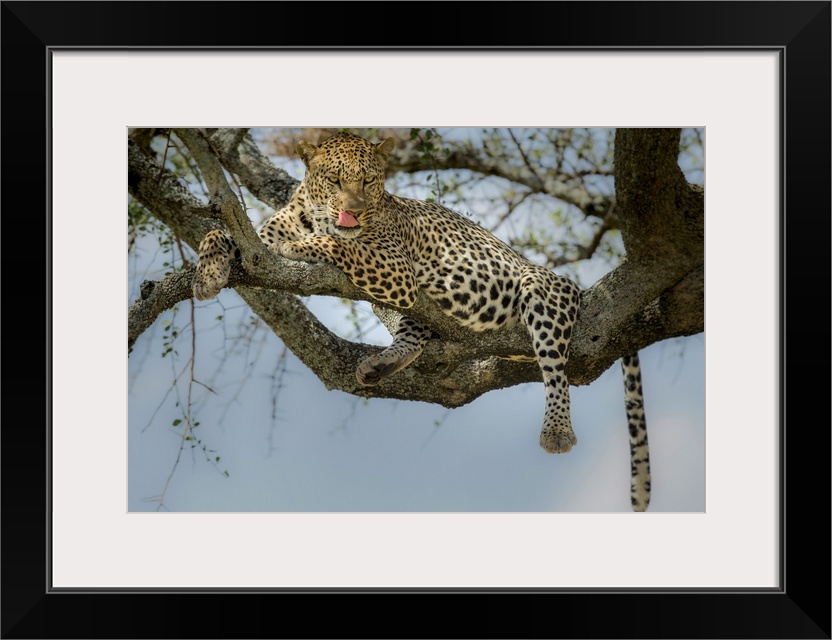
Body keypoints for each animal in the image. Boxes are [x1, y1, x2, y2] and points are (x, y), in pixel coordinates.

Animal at [193, 132, 648, 512]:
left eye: (369, 181)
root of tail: (578, 287)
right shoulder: (260, 241)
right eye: (336, 180)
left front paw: (305, 244)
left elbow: (339, 244)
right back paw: (380, 365)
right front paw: (206, 274)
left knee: (554, 368)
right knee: (415, 336)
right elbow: (219, 232)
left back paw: (557, 431)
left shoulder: (395, 268)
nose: (354, 211)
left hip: (541, 290)